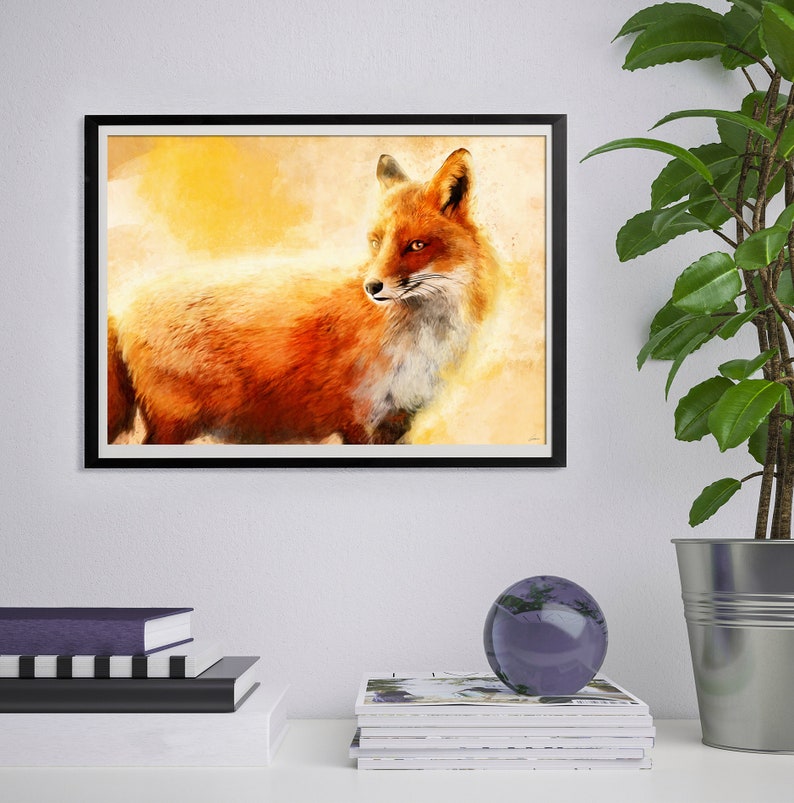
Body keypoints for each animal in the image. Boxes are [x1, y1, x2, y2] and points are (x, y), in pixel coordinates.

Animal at [107, 147, 499, 445]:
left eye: (416, 245)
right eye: (376, 242)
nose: (371, 287)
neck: (420, 340)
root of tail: (121, 307)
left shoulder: (398, 419)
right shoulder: (359, 418)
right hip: (174, 426)